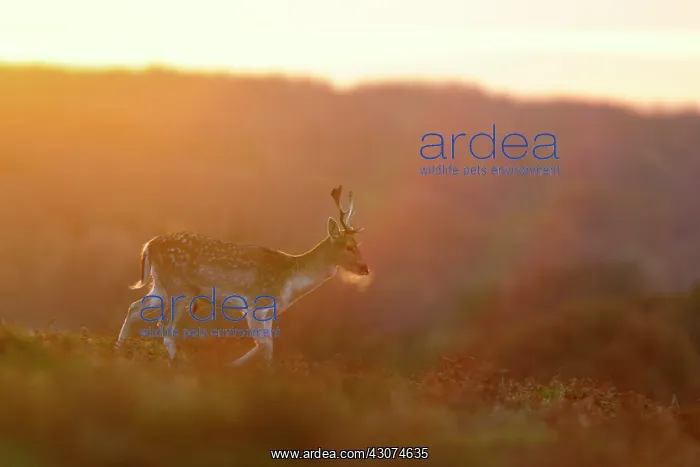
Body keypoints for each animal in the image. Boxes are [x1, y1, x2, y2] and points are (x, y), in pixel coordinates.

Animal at [113, 185, 369, 366]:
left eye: (359, 245)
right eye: (348, 246)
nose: (365, 268)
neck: (289, 279)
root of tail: (149, 245)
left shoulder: (269, 311)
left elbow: (268, 345)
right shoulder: (254, 303)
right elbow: (264, 345)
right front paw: (236, 368)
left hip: (161, 286)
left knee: (134, 307)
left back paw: (117, 350)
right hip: (179, 288)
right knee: (165, 326)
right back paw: (176, 364)